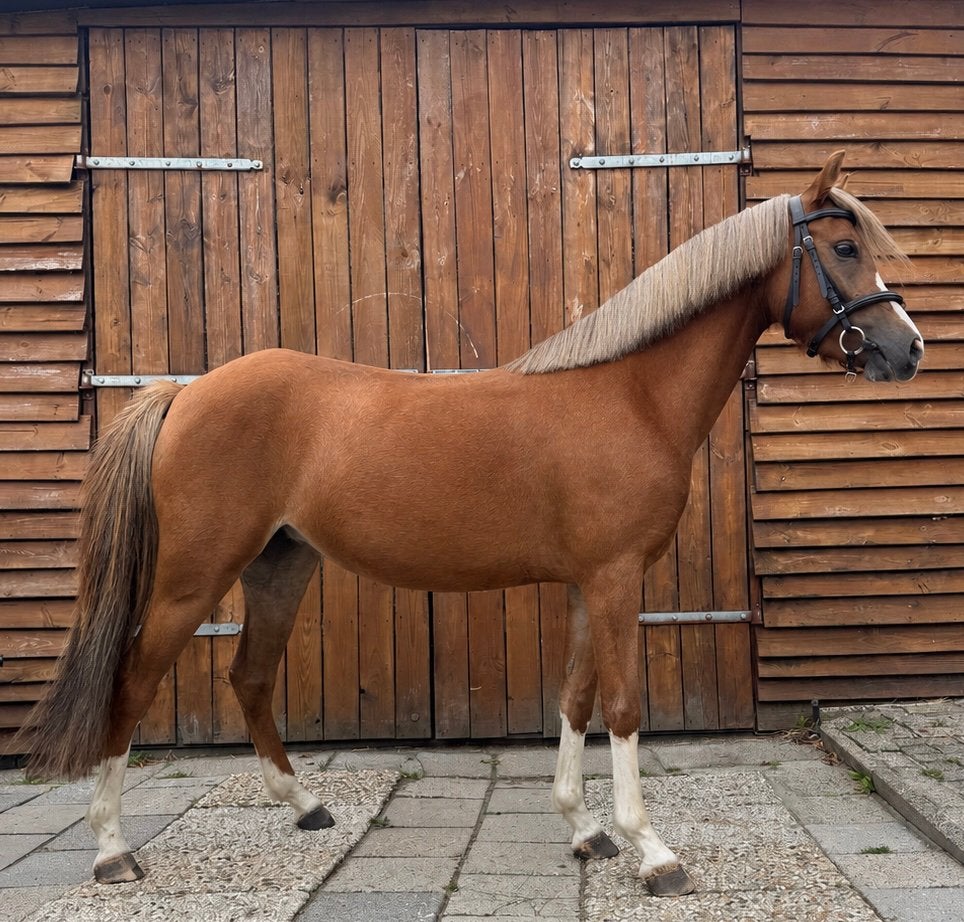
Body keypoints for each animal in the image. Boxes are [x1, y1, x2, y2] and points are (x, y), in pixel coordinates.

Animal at [21, 152, 923, 896]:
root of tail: (186, 392)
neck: (631, 395)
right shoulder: (615, 579)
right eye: (844, 248)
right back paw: (112, 850)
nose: (907, 349)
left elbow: (576, 699)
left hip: (282, 563)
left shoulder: (588, 585)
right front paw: (654, 852)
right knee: (135, 679)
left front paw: (586, 830)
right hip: (192, 576)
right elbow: (623, 706)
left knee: (250, 677)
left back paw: (306, 805)